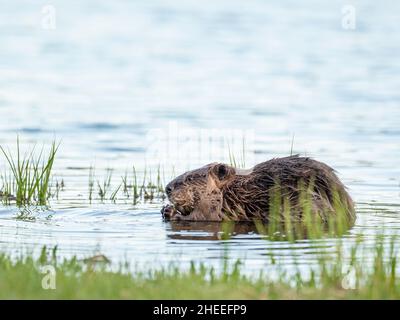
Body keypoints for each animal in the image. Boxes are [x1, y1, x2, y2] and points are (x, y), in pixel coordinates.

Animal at [161, 154, 354, 222]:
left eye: (189, 178)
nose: (167, 188)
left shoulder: (225, 205)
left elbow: (206, 215)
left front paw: (171, 212)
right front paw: (166, 208)